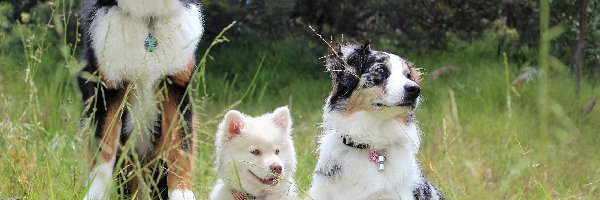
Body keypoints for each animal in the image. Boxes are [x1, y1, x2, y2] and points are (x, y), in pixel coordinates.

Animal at [77, 0, 204, 199]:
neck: (147, 20)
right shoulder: (107, 91)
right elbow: (104, 148)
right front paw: (95, 193)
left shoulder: (175, 87)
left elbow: (180, 148)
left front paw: (182, 193)